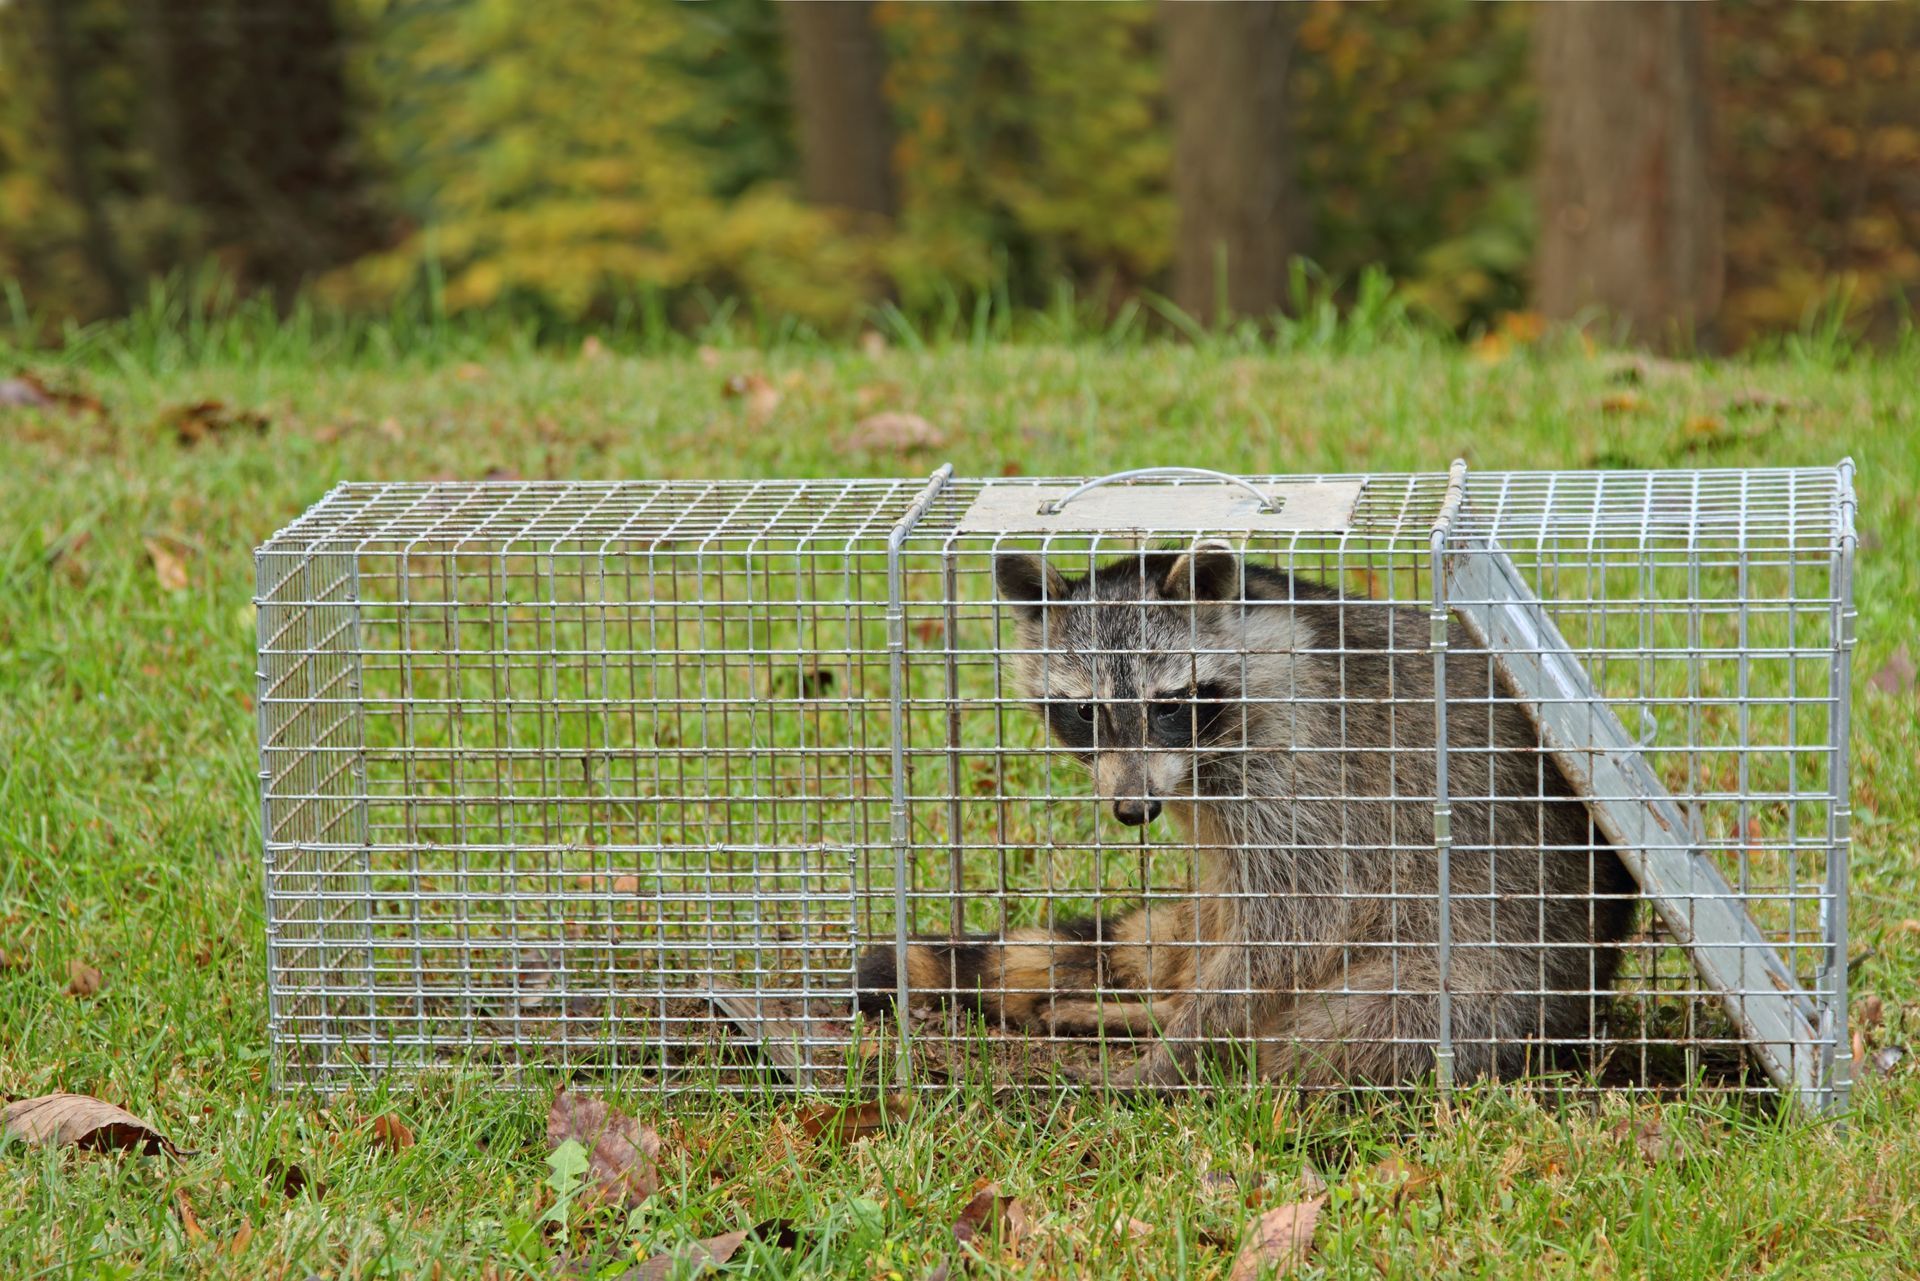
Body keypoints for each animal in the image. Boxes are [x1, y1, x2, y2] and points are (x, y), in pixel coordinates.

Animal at [856, 543, 1637, 1090]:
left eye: (1169, 704)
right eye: (1084, 711)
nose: (1133, 810)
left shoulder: (1306, 759)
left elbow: (1296, 921)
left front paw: (1178, 1052)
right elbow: (1231, 915)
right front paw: (1169, 1017)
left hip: (1493, 977)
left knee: (1351, 1030)